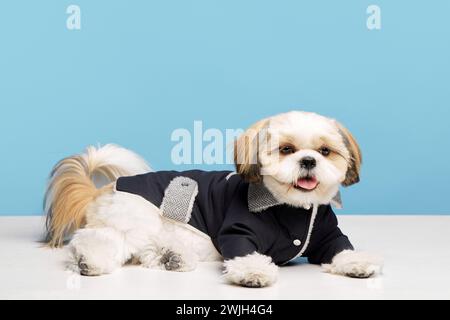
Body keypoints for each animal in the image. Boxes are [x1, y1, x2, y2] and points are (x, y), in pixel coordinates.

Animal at [44, 110, 384, 288]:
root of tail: (106, 189)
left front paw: (356, 263)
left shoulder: (328, 234)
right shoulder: (237, 230)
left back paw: (171, 257)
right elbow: (244, 253)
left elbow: (340, 248)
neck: (290, 207)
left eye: (325, 151)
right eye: (287, 149)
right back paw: (89, 260)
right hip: (133, 220)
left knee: (143, 252)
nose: (309, 161)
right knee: (100, 241)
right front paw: (253, 272)